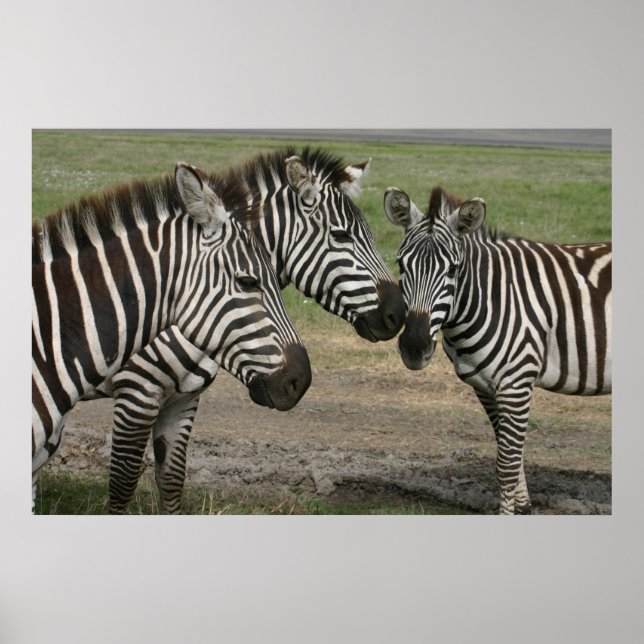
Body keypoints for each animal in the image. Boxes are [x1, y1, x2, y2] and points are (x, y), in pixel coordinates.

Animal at [102, 147, 407, 514]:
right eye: (341, 235)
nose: (398, 313)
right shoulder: (137, 392)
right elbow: (122, 484)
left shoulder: (184, 398)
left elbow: (172, 481)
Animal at [384, 185, 611, 514]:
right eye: (401, 264)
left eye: (453, 269)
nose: (415, 347)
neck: (490, 296)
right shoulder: (485, 387)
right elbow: (509, 451)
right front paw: (524, 505)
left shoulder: (516, 383)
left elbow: (506, 464)